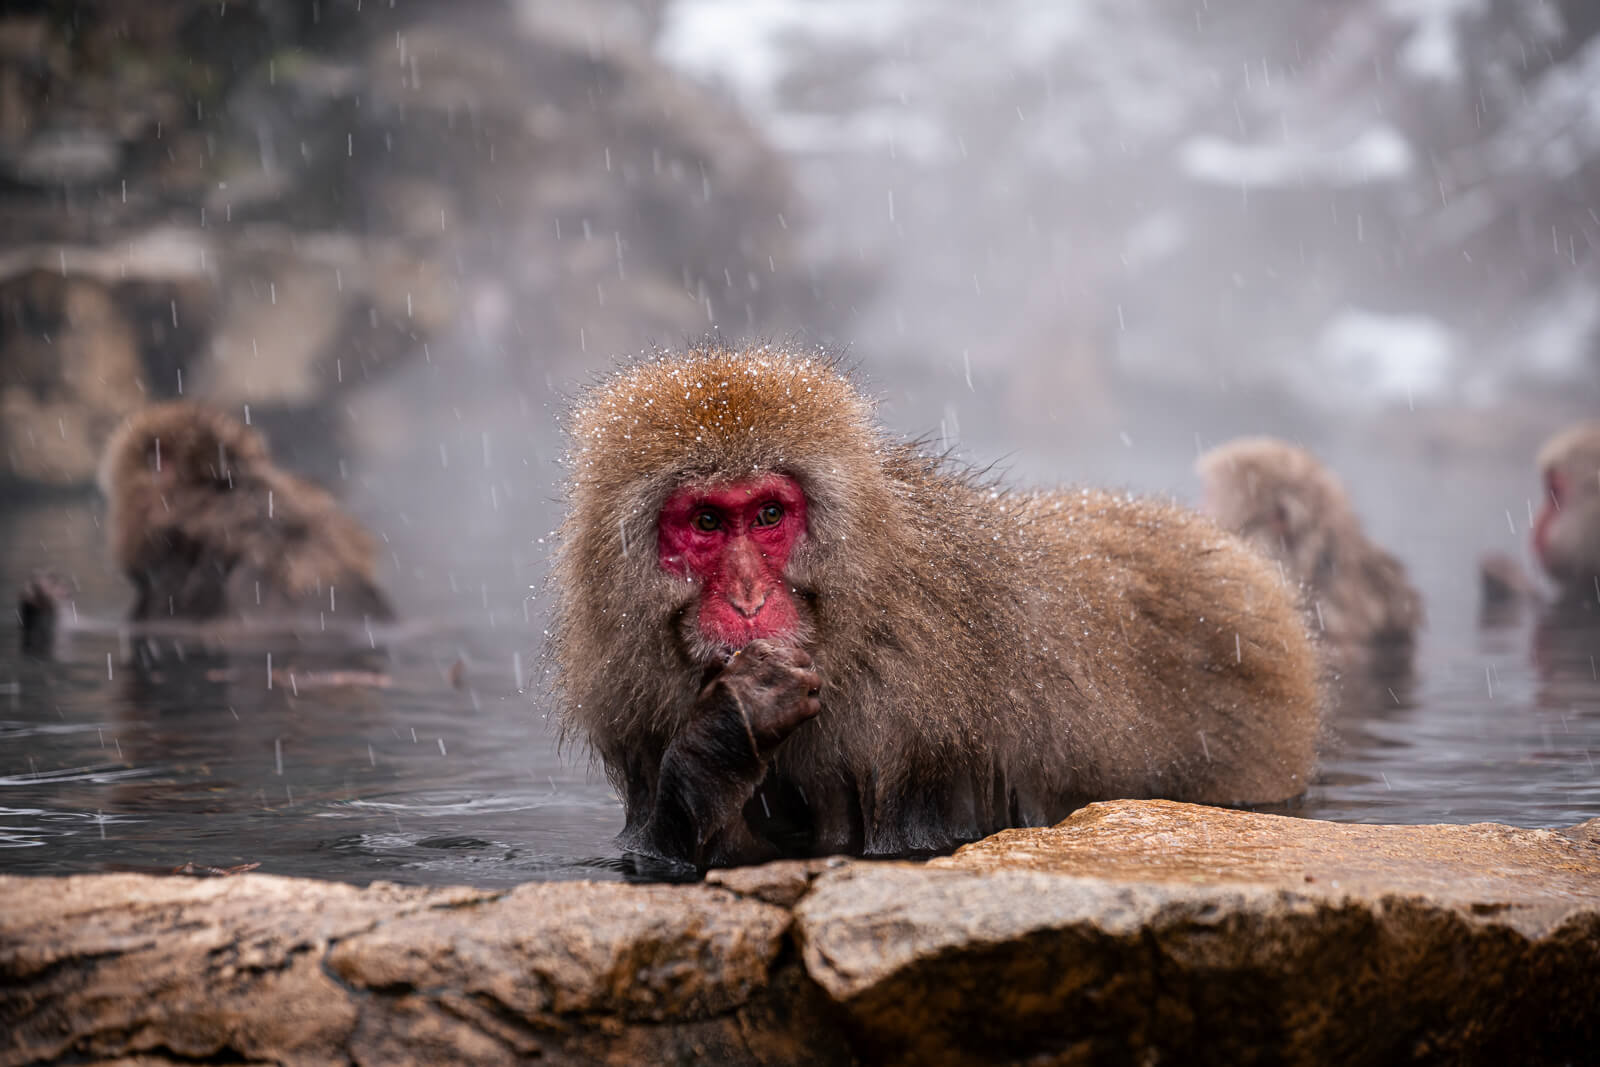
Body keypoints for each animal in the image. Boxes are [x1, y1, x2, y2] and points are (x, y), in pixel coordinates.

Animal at [550, 345, 1325, 869]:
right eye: (707, 521)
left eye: (768, 513)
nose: (748, 599)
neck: (855, 622)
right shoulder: (633, 708)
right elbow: (668, 852)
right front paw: (726, 728)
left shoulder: (915, 714)